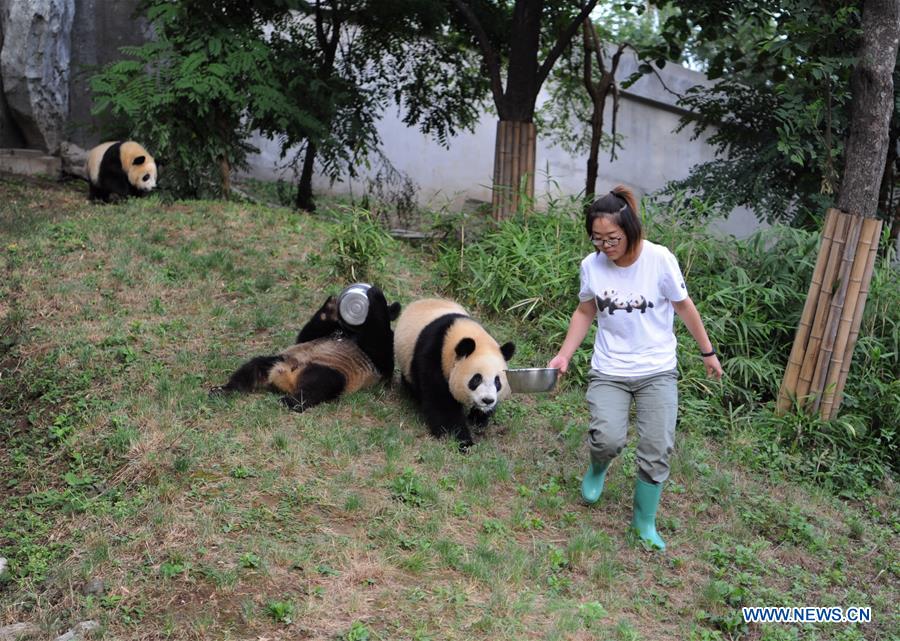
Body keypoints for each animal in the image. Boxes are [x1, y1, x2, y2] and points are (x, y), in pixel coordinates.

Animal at [211, 284, 400, 410]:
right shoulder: (326, 333)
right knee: (252, 368)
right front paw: (330, 309)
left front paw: (374, 295)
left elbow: (381, 351)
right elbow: (305, 336)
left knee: (321, 385)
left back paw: (290, 402)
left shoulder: (378, 359)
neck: (349, 332)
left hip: (335, 370)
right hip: (281, 358)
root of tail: (286, 375)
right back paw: (223, 390)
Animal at [392, 298, 512, 448]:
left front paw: (478, 418)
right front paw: (462, 440)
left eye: (497, 381)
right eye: (476, 379)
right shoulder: (434, 356)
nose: (487, 400)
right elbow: (441, 404)